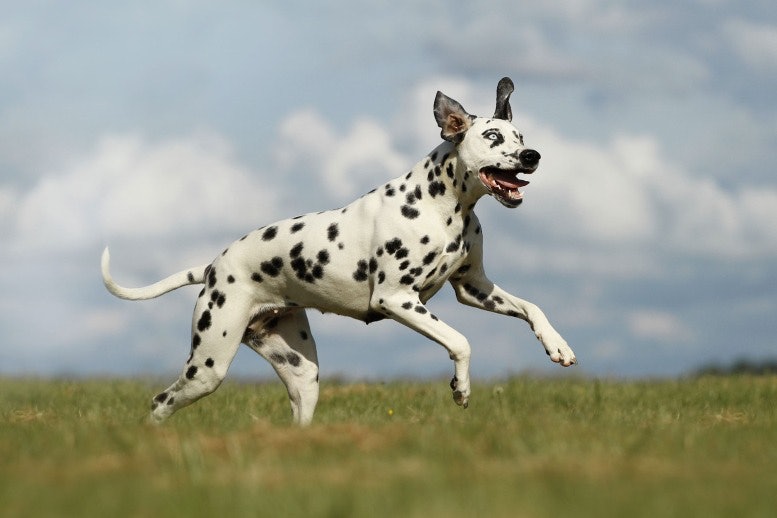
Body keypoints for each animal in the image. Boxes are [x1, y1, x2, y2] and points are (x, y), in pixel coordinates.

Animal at [101, 77, 576, 426]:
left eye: (521, 135)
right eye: (492, 136)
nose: (532, 155)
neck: (444, 205)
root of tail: (213, 267)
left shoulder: (474, 288)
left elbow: (532, 308)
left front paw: (557, 346)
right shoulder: (397, 299)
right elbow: (460, 341)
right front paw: (461, 388)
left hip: (301, 372)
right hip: (209, 364)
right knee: (161, 402)